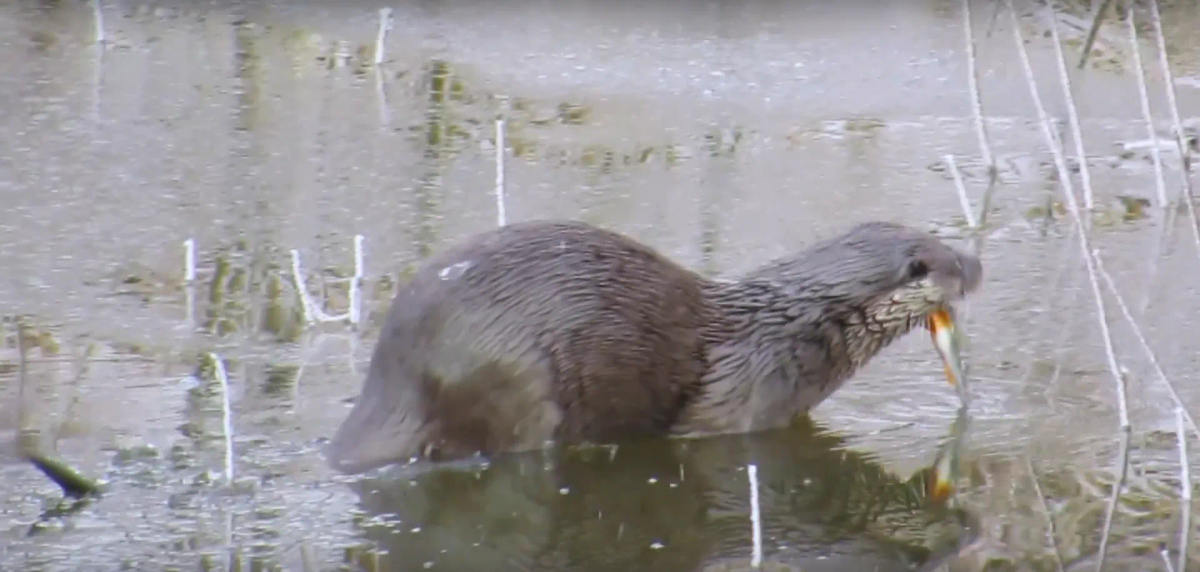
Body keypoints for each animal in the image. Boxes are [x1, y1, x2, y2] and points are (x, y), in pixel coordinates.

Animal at [324, 218, 979, 472]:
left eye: (953, 244)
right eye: (948, 261)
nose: (979, 263)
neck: (788, 332)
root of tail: (396, 378)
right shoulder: (742, 411)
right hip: (516, 381)